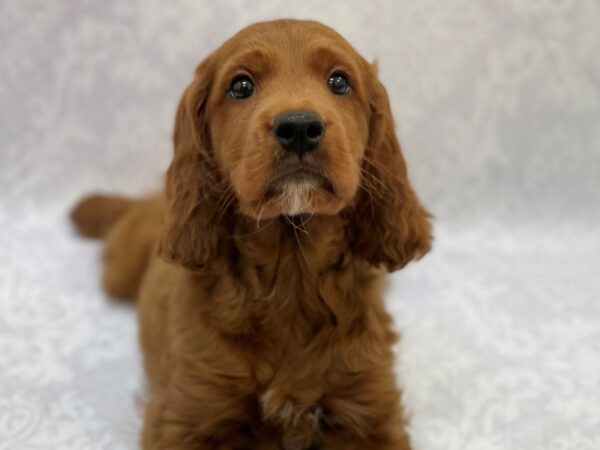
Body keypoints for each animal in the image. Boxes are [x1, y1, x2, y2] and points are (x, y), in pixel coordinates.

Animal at [71, 18, 432, 450]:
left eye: (339, 81)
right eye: (241, 86)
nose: (299, 127)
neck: (291, 271)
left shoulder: (371, 407)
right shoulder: (186, 414)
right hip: (121, 272)